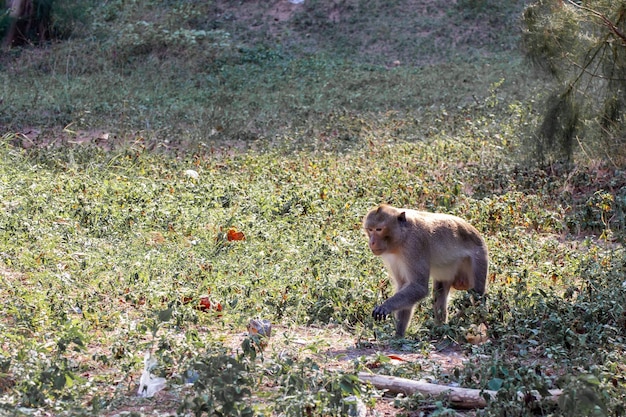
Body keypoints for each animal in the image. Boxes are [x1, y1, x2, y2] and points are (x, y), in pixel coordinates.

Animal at [360, 203, 488, 336]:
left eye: (379, 229)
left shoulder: (414, 245)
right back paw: (440, 329)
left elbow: (418, 287)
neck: (401, 238)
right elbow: (405, 285)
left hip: (479, 257)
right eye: (370, 229)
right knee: (440, 292)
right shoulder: (393, 257)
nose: (372, 242)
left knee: (478, 295)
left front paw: (385, 306)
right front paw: (398, 335)